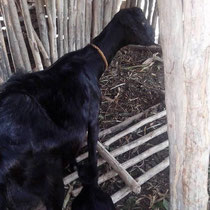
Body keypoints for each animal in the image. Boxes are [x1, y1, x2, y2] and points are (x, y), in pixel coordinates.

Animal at [0, 7, 154, 209]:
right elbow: (92, 151)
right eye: (141, 22)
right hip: (48, 182)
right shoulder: (93, 117)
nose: (153, 38)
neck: (88, 62)